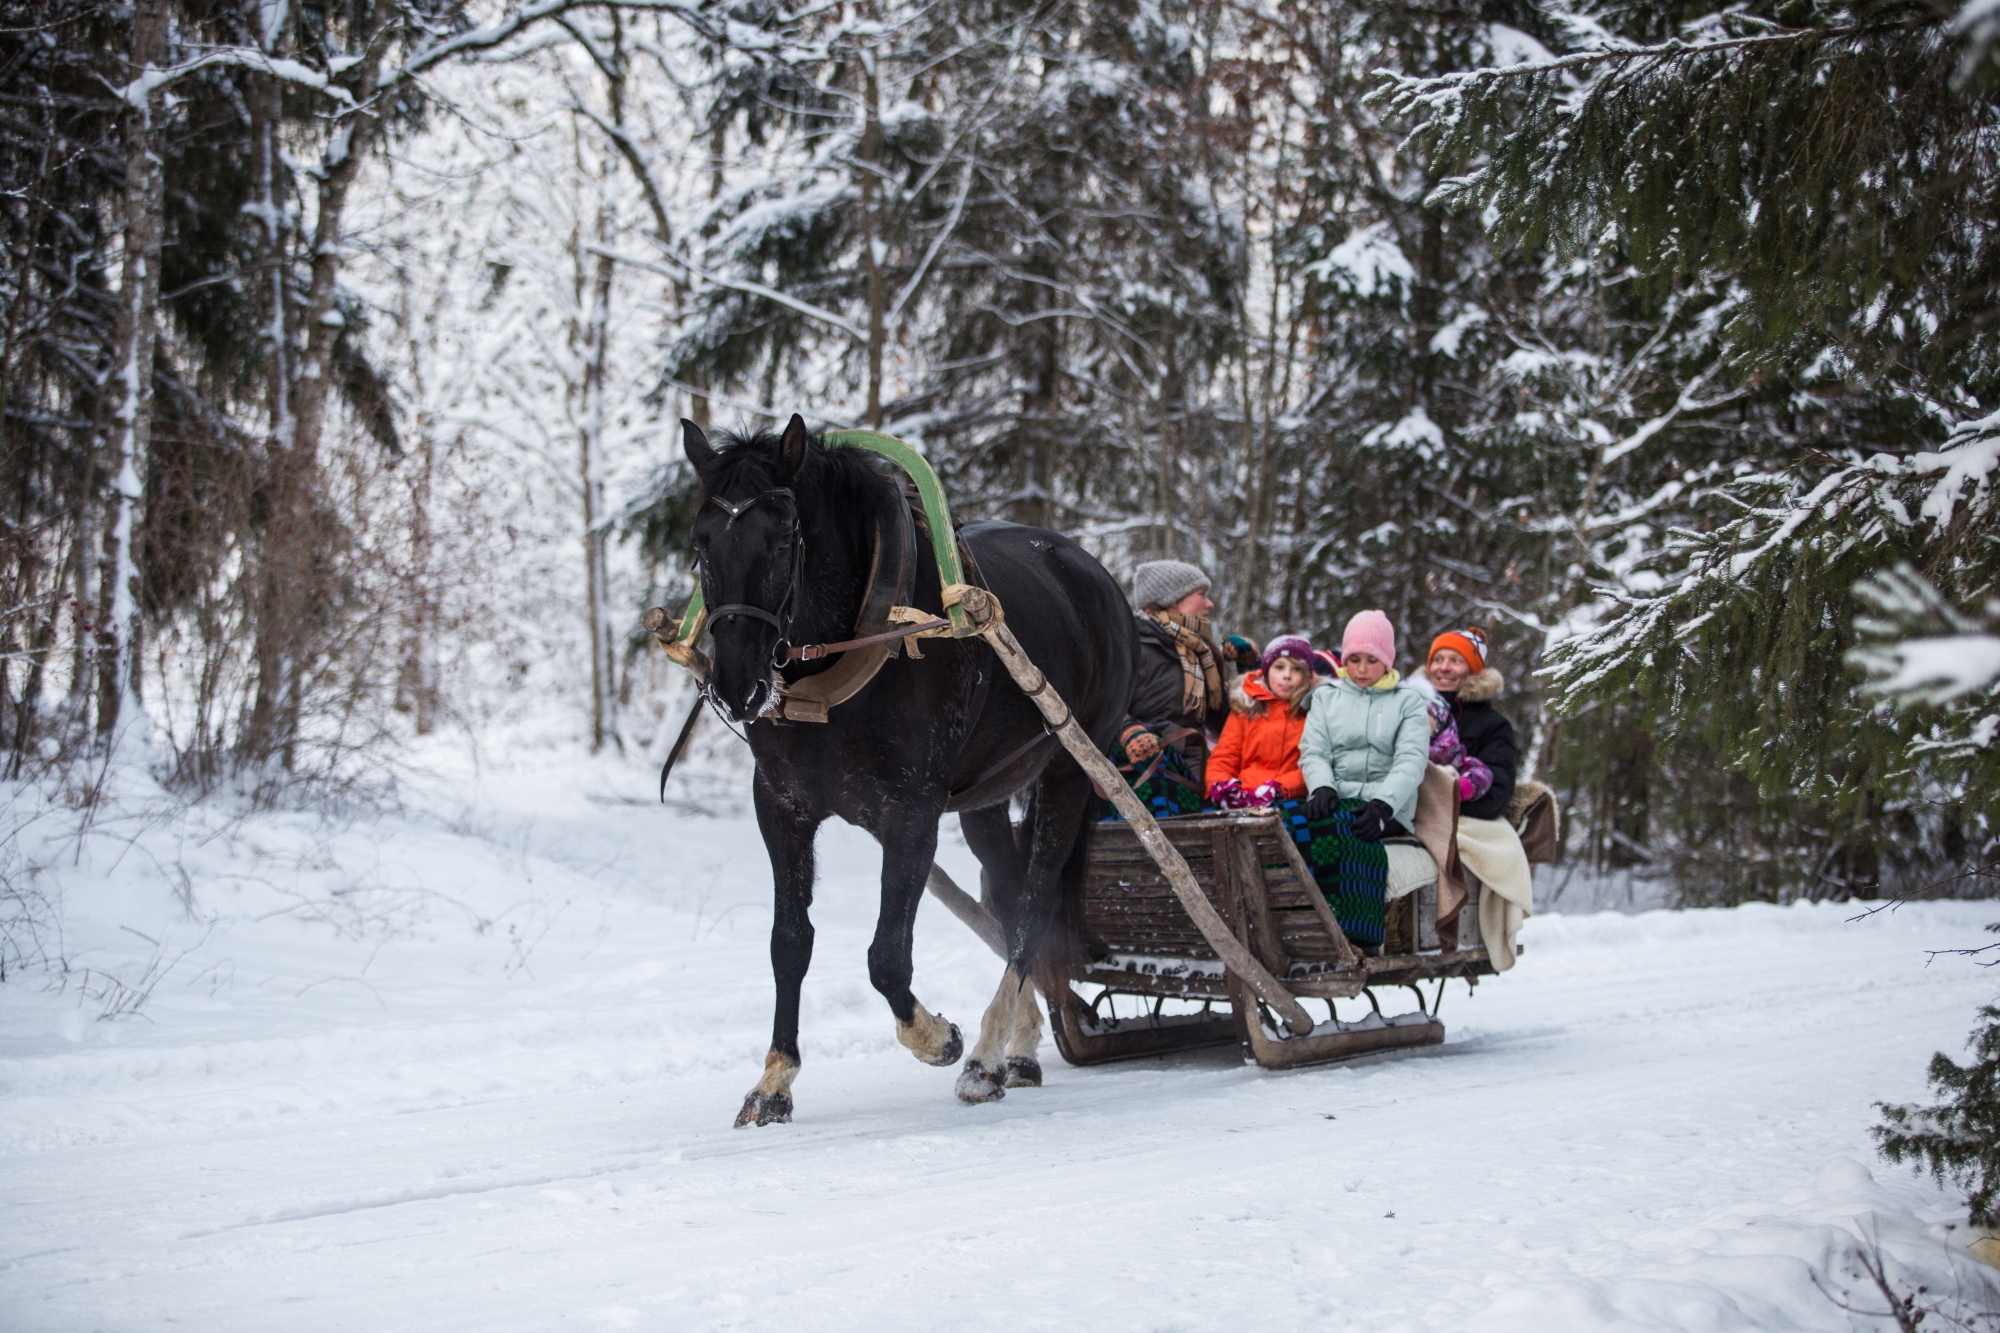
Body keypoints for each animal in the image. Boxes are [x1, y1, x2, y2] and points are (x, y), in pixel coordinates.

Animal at [684, 416, 1128, 1120]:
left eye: (782, 539)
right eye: (700, 543)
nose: (735, 686)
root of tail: (1096, 578)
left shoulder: (912, 812)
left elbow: (887, 957)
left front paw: (938, 1038)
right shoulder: (781, 806)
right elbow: (790, 943)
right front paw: (774, 1081)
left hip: (1070, 775)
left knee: (1034, 903)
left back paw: (984, 1057)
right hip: (985, 798)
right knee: (1007, 897)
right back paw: (1019, 1047)